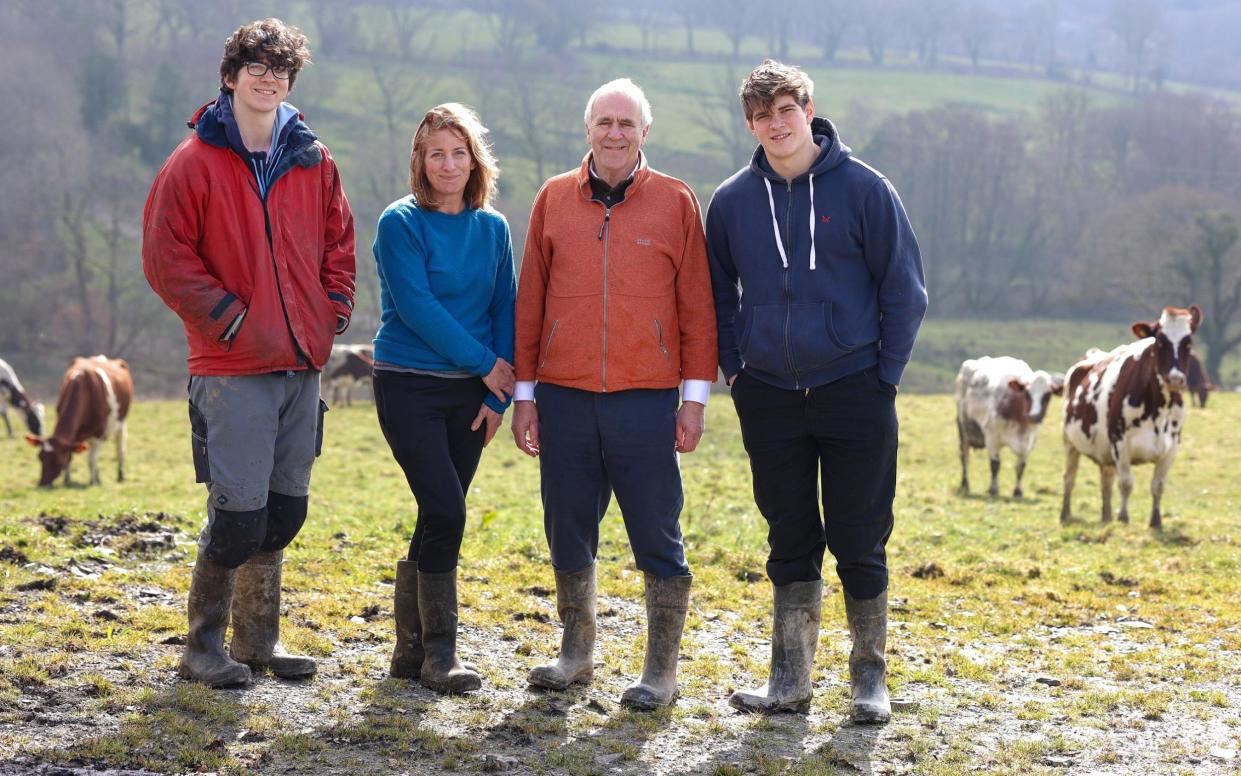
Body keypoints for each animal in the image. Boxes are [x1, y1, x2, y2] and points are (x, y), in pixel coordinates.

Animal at [25, 355, 132, 486]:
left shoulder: (97, 434)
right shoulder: (72, 439)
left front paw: (92, 482)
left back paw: (120, 475)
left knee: (119, 449)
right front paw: (67, 480)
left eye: (57, 460)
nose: (42, 484)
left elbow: (91, 460)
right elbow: (71, 457)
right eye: (40, 457)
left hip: (121, 422)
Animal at [953, 355, 1062, 496]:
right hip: (963, 430)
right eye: (1027, 393)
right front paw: (993, 489)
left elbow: (1021, 466)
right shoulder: (992, 437)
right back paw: (965, 485)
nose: (1034, 416)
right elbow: (995, 464)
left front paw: (1017, 491)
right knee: (965, 458)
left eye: (1047, 395)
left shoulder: (1029, 442)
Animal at [1062, 305, 1196, 528]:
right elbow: (1126, 483)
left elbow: (1158, 485)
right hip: (1070, 442)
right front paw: (1123, 517)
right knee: (1069, 478)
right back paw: (1065, 513)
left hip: (1104, 453)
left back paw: (1106, 517)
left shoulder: (1172, 446)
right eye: (1160, 341)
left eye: (1189, 342)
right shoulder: (1120, 442)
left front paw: (1156, 521)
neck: (1158, 411)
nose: (1175, 379)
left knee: (1106, 482)